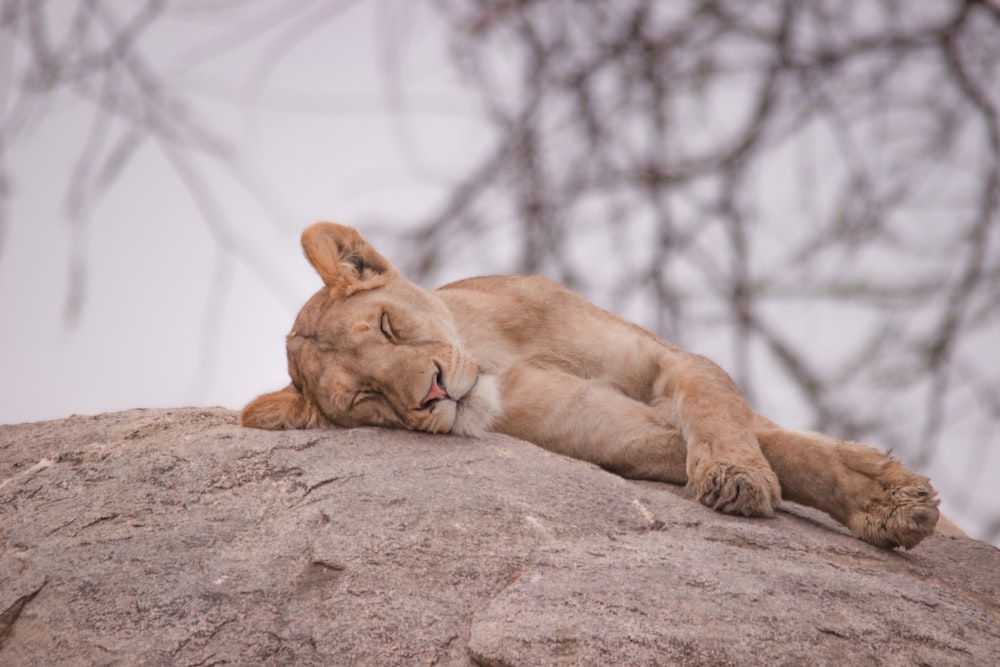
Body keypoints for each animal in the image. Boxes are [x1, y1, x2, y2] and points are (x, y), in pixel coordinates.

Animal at [242, 222, 944, 552]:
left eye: (387, 326)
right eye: (365, 397)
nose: (435, 393)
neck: (498, 354)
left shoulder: (662, 360)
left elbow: (727, 411)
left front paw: (888, 498)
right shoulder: (614, 436)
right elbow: (772, 450)